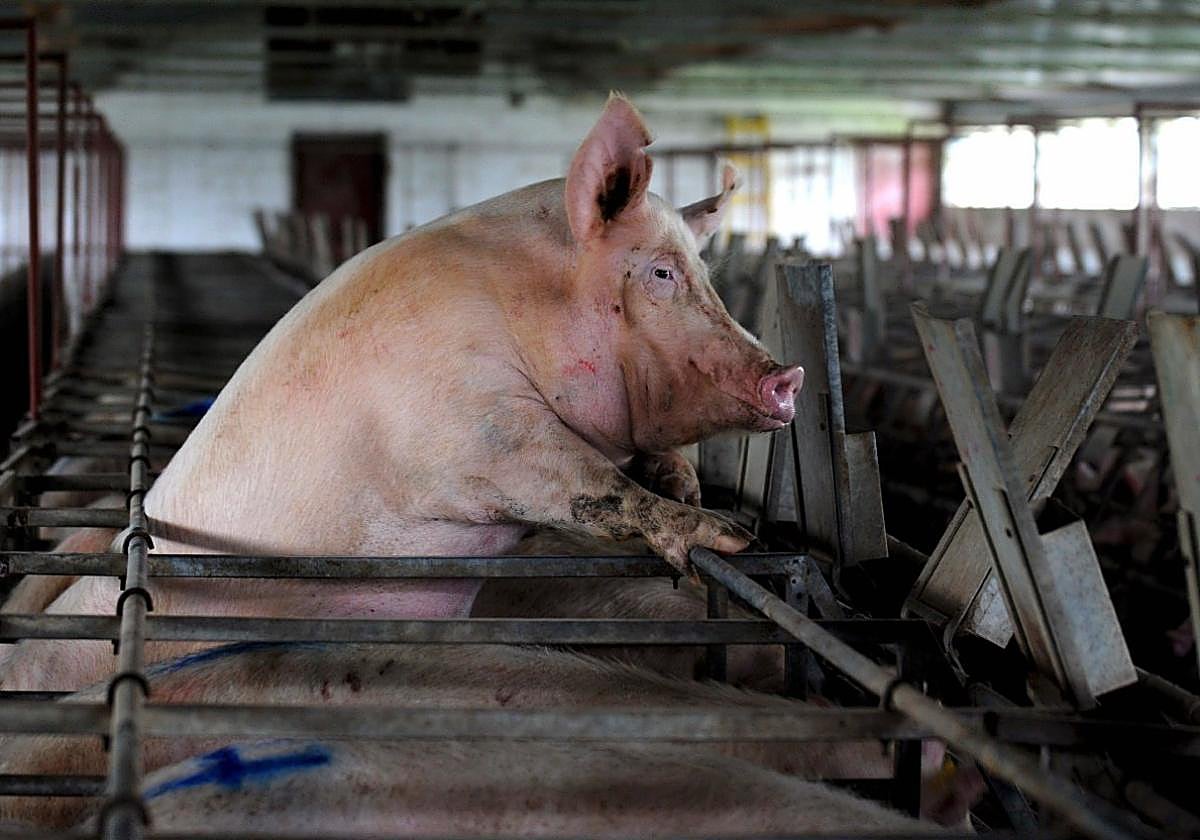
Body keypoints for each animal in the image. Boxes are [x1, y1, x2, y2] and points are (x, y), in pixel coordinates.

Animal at [1, 94, 801, 692]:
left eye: (703, 271)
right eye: (661, 274)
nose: (788, 378)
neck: (523, 311)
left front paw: (690, 488)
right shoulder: (474, 437)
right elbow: (587, 483)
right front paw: (727, 534)